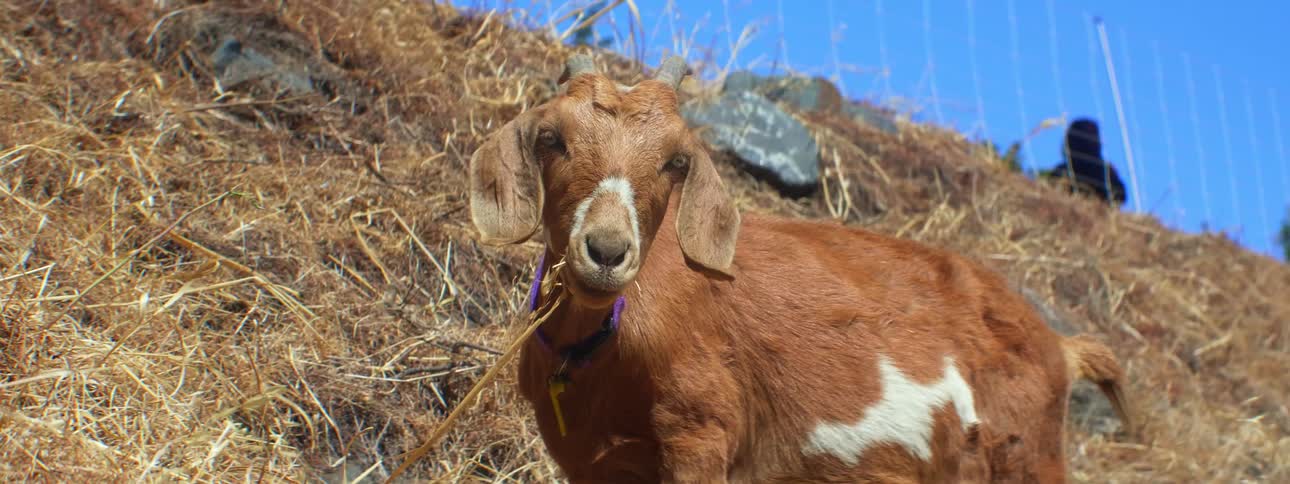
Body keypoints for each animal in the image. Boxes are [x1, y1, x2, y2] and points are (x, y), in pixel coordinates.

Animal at [467, 54, 1133, 483]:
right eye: (551, 138)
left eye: (677, 161)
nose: (606, 251)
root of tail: (1060, 347)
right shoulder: (592, 462)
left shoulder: (701, 435)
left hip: (1027, 459)